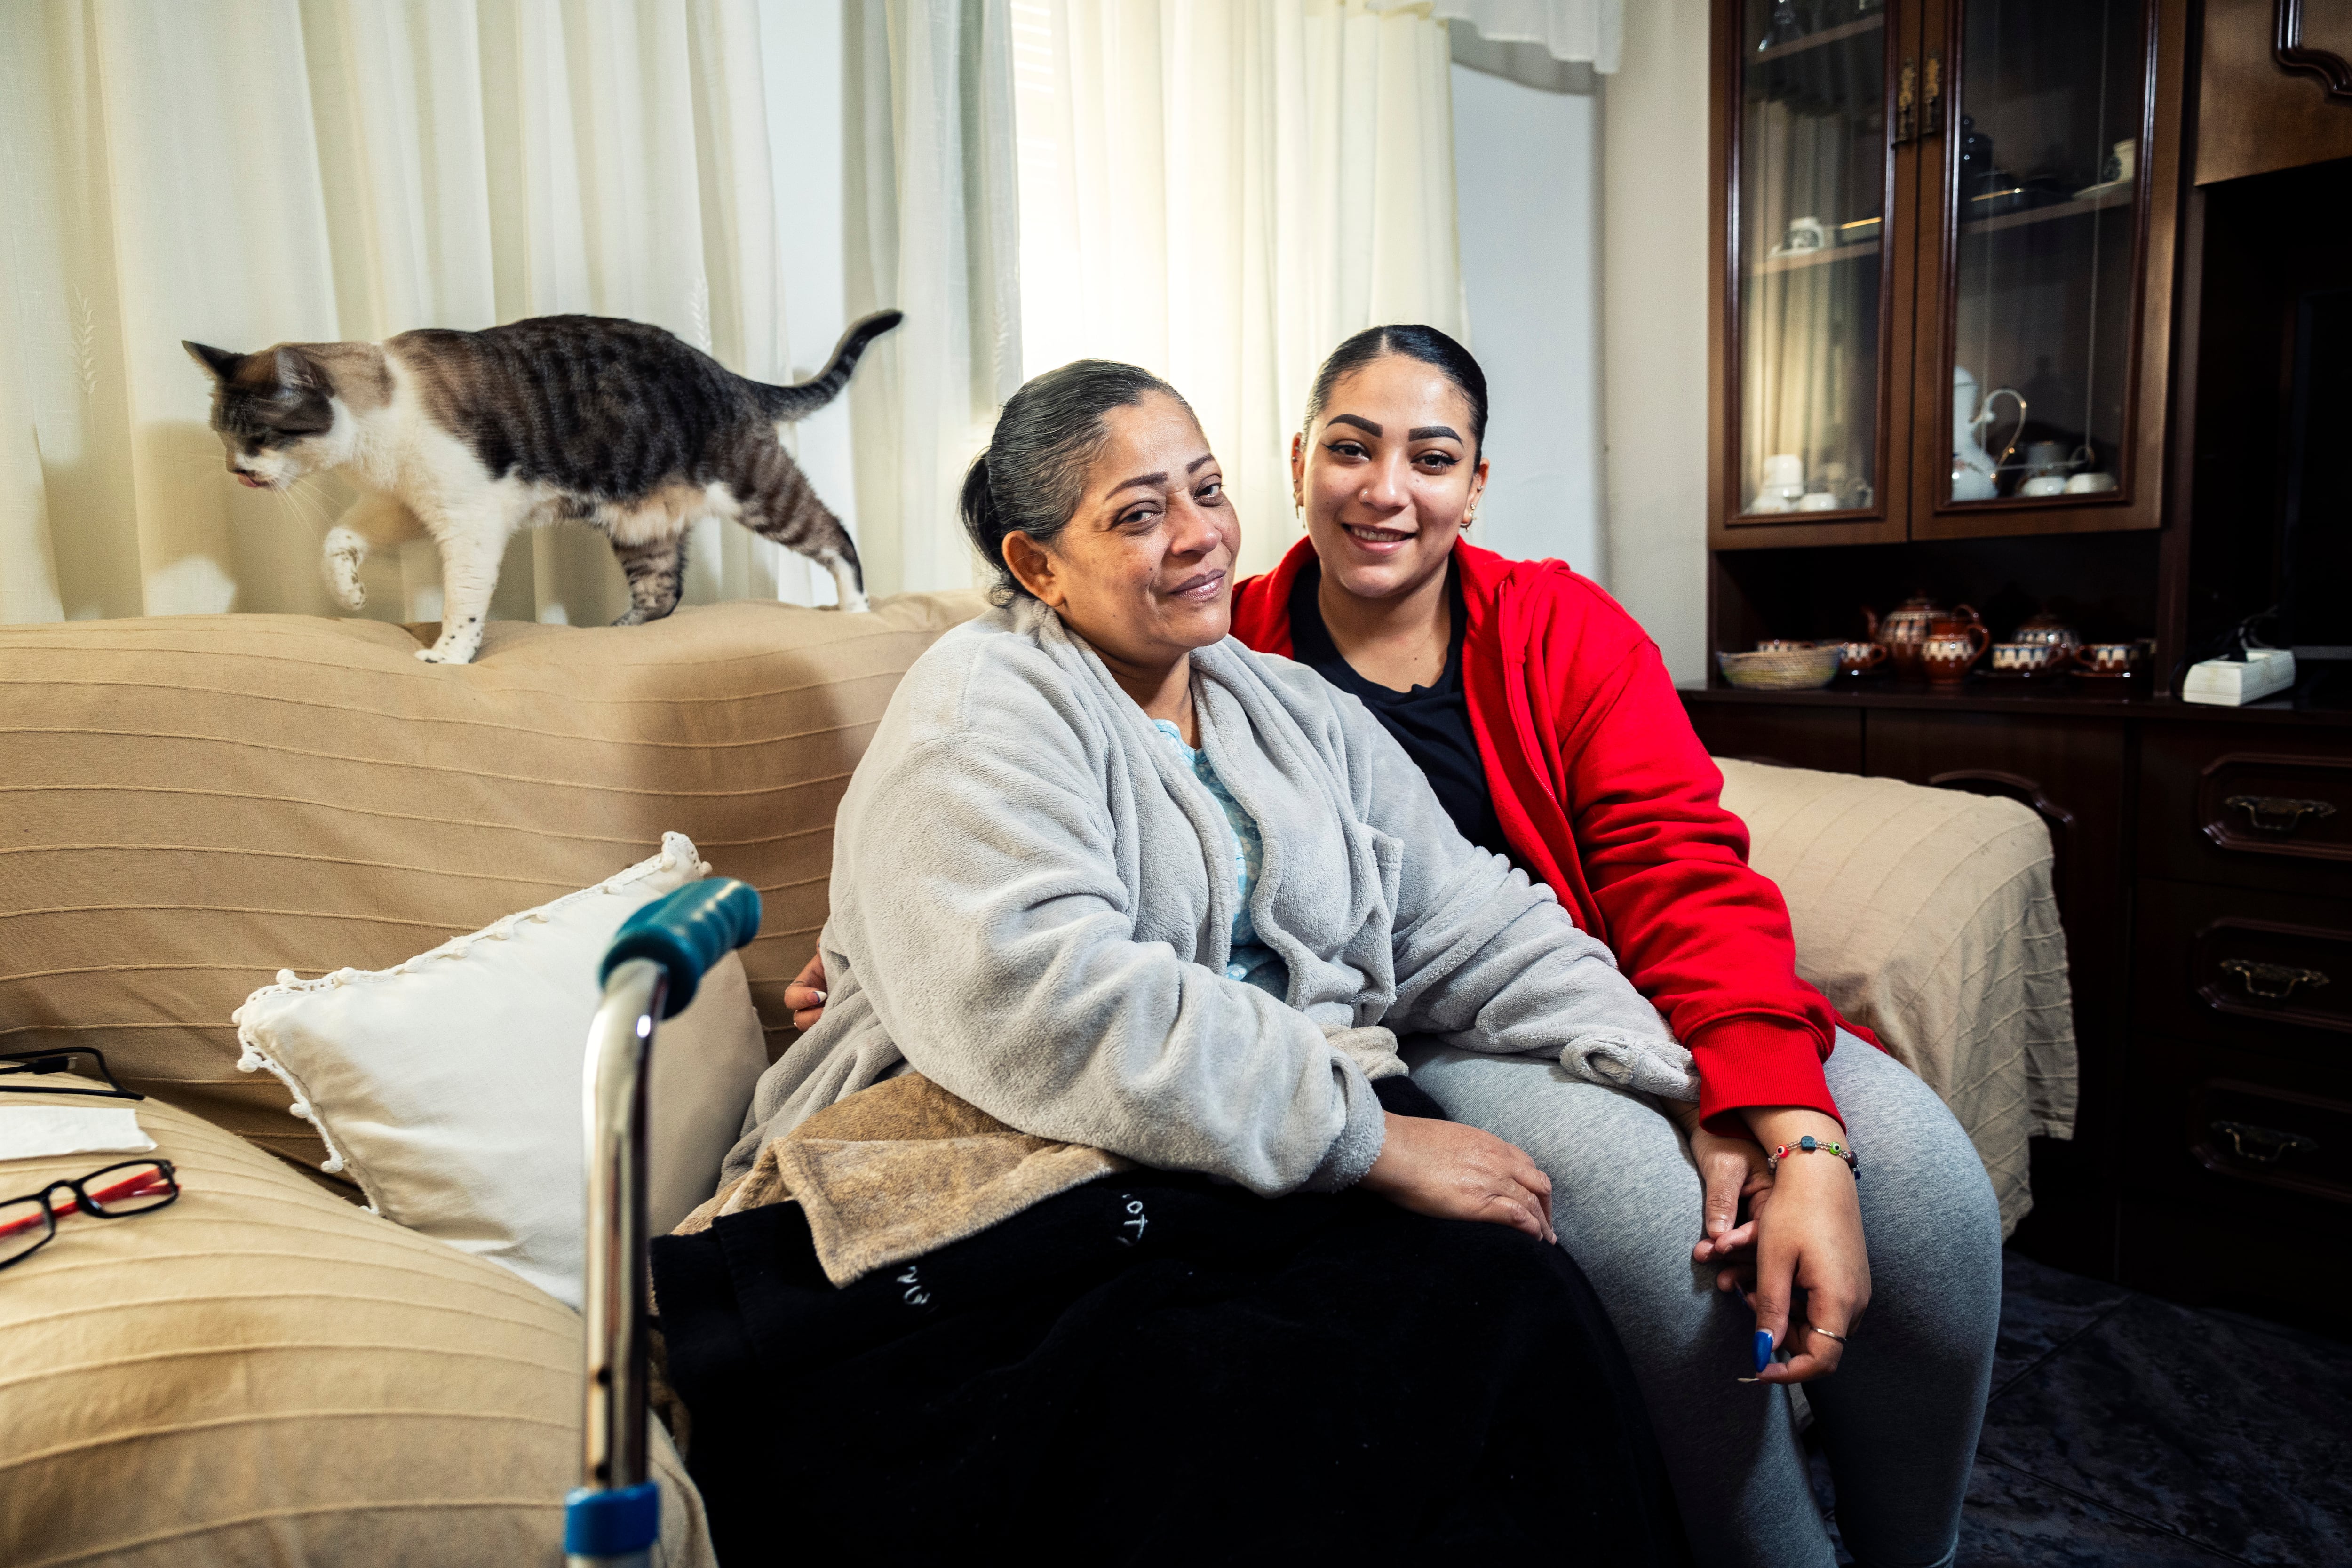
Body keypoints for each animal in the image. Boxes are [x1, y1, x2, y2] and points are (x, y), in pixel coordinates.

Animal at [183, 310, 894, 668]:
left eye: (261, 437)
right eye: (222, 436)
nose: (236, 472)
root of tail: (726, 372)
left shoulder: (468, 518)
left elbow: (464, 599)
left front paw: (448, 654)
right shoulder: (405, 503)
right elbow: (338, 539)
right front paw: (348, 590)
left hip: (753, 485)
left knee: (834, 535)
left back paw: (857, 610)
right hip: (641, 526)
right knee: (663, 593)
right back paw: (618, 633)